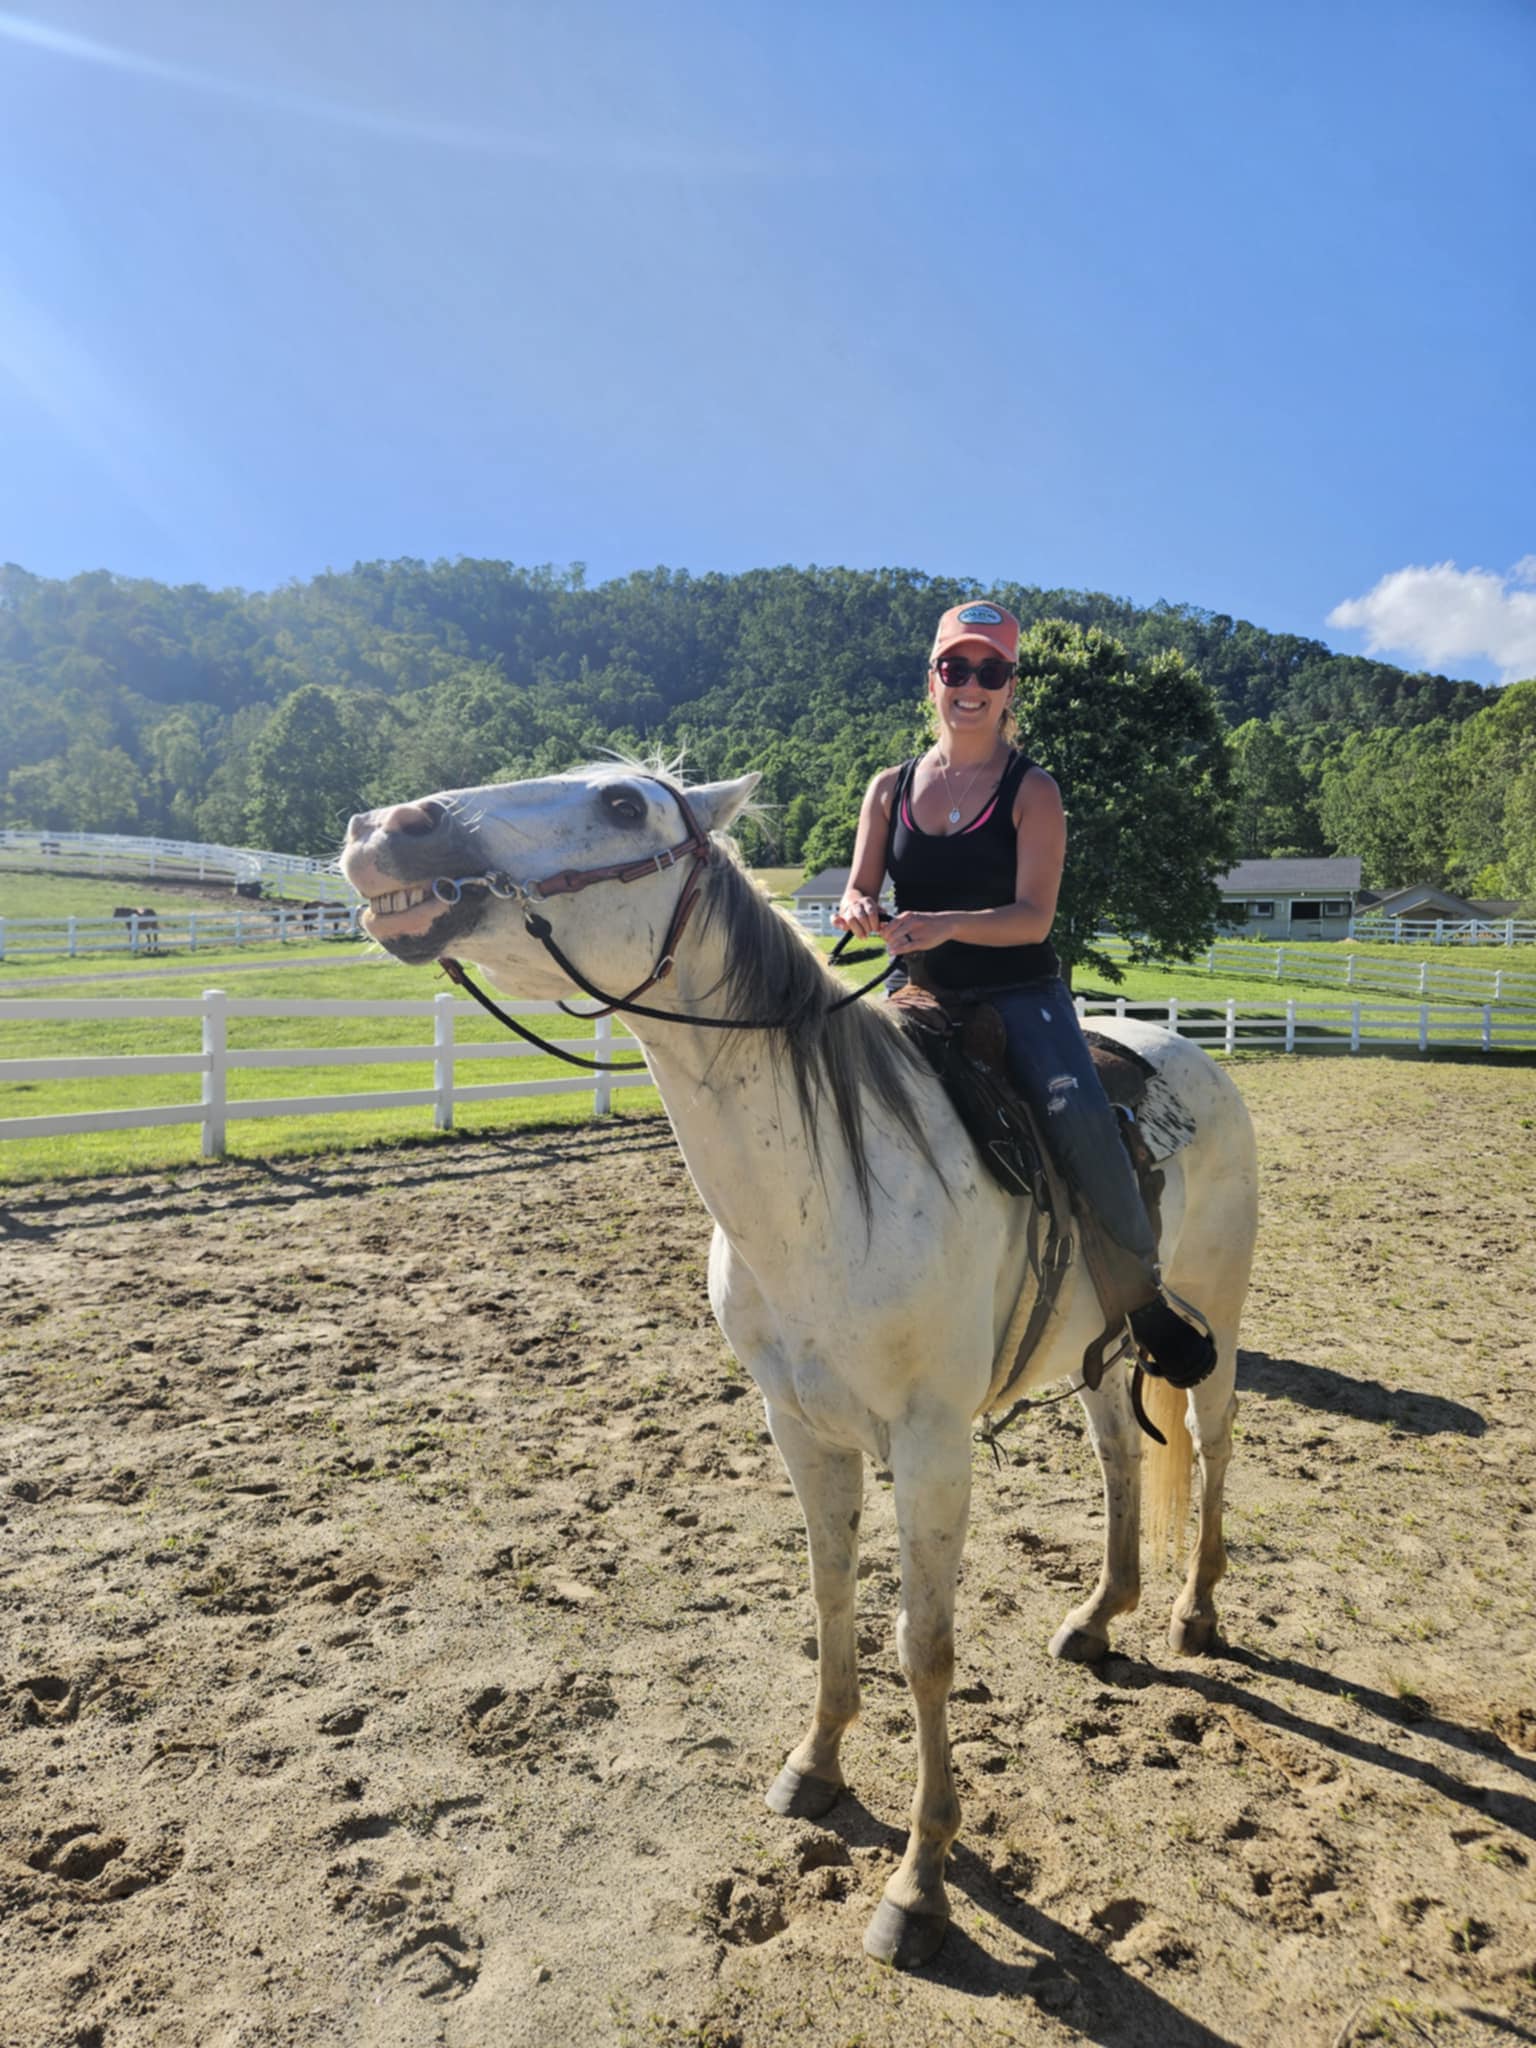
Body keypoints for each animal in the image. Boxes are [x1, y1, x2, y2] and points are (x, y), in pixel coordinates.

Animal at [340, 763, 1259, 1970]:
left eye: (625, 804)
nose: (384, 828)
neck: (832, 1183)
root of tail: (1185, 1051)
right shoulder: (799, 1426)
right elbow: (829, 1597)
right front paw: (817, 1766)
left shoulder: (932, 1444)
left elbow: (926, 1646)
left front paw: (921, 1880)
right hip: (1100, 1353)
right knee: (1117, 1459)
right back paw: (1100, 1615)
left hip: (1211, 1318)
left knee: (1209, 1444)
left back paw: (1193, 1613)